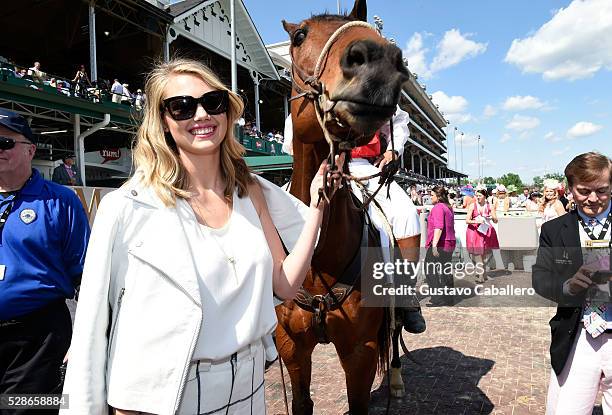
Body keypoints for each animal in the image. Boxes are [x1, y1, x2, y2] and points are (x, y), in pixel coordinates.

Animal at [276, 1, 412, 414]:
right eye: (299, 36)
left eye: (373, 29)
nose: (378, 61)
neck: (318, 258)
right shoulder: (291, 347)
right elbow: (302, 403)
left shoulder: (360, 351)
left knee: (396, 335)